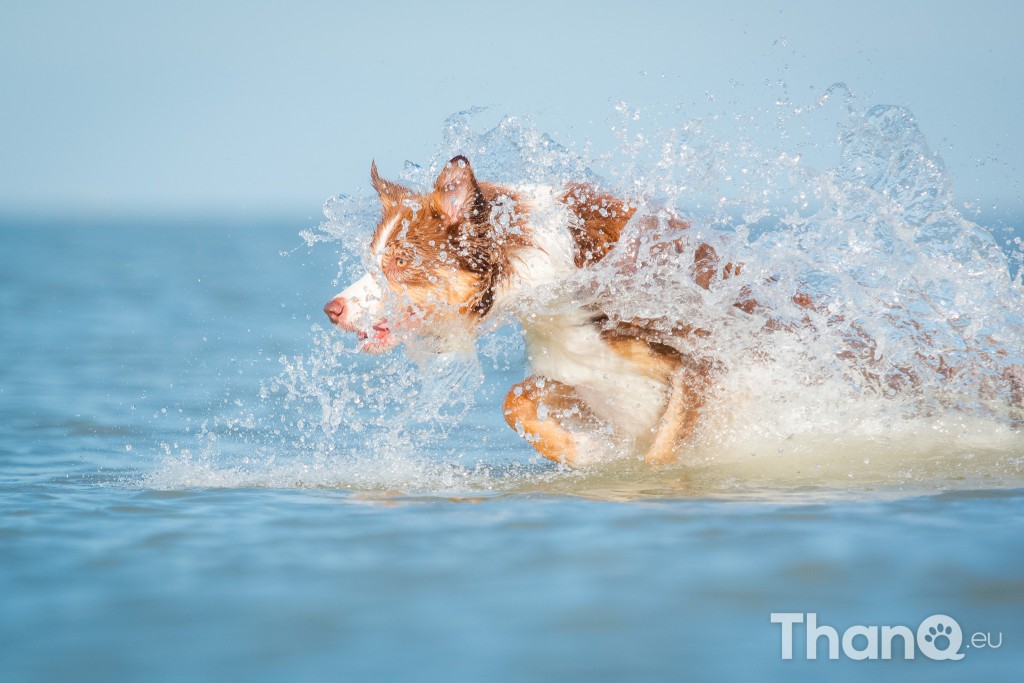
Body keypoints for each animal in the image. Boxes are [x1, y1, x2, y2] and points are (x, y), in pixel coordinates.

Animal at [321, 154, 753, 464]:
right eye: (372, 260)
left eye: (400, 261)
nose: (331, 309)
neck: (555, 278)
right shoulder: (580, 366)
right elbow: (513, 400)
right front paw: (583, 451)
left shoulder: (700, 362)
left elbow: (661, 456)